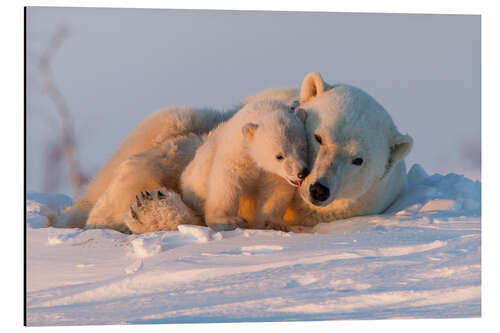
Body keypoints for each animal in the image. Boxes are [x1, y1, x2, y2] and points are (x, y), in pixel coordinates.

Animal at [180, 98, 308, 231]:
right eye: (279, 156)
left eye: (303, 148)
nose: (301, 173)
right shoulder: (238, 152)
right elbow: (227, 181)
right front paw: (228, 221)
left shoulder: (274, 173)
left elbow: (276, 188)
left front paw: (272, 223)